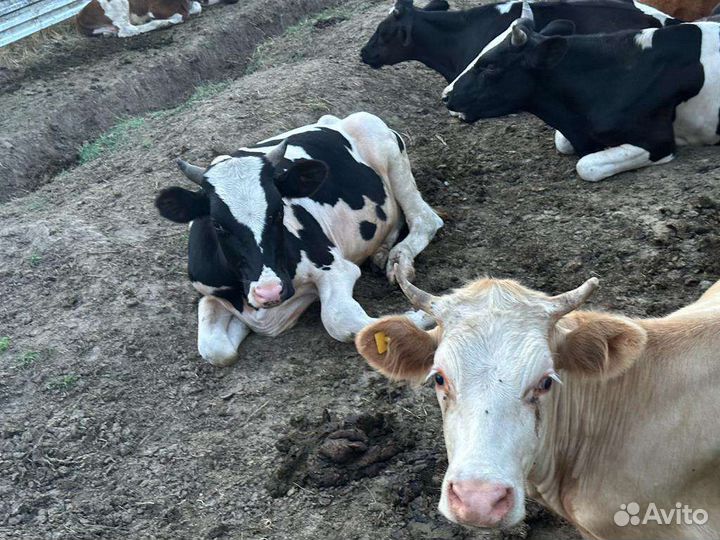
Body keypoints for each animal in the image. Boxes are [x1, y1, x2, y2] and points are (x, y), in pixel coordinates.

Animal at [76, 0, 206, 37]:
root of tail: (79, 16)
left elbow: (196, 7)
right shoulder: (156, 7)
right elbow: (182, 14)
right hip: (117, 7)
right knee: (127, 30)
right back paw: (161, 23)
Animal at [154, 112, 443, 366]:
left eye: (278, 211)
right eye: (217, 224)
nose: (269, 291)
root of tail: (335, 120)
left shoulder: (336, 267)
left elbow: (341, 321)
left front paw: (417, 315)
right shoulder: (212, 295)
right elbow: (215, 350)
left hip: (384, 145)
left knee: (426, 219)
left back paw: (399, 260)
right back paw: (382, 252)